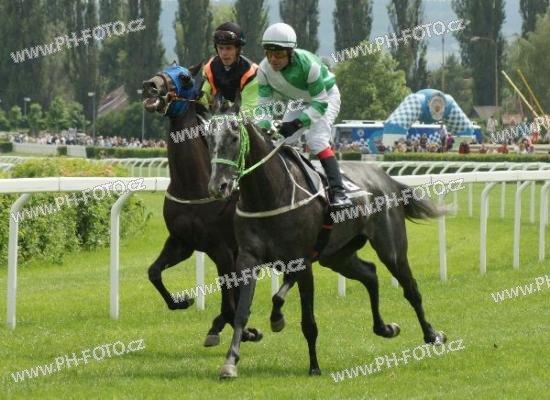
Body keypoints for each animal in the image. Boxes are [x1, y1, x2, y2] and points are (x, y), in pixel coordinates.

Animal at [141, 63, 262, 346]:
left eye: (185, 77)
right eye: (161, 69)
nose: (151, 86)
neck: (192, 186)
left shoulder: (222, 249)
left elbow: (229, 301)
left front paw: (244, 330)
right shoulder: (182, 242)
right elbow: (154, 272)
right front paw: (181, 301)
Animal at [205, 97, 447, 378]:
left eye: (234, 137)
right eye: (208, 138)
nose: (218, 186)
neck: (269, 194)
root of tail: (386, 178)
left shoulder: (301, 261)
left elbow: (305, 317)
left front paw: (313, 365)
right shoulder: (248, 259)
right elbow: (243, 312)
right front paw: (230, 362)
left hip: (391, 248)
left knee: (411, 289)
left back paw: (432, 335)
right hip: (337, 256)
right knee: (370, 273)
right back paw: (385, 328)